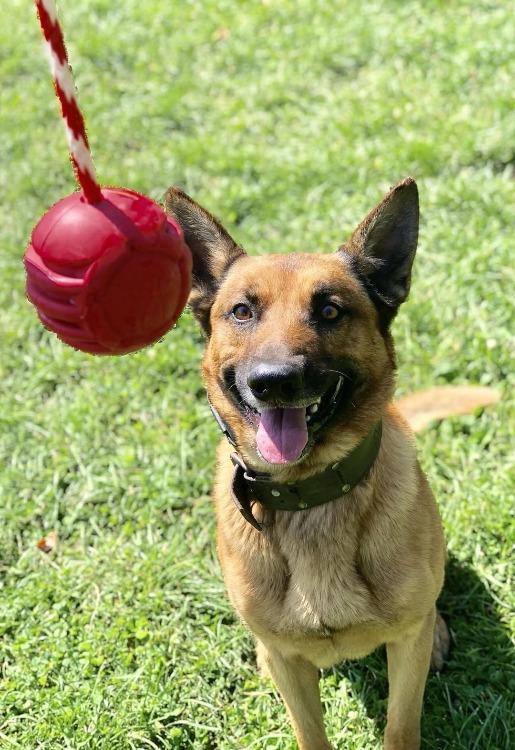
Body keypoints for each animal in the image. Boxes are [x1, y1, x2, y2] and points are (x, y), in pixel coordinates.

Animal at [165, 181, 452, 750]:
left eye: (330, 311)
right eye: (242, 312)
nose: (274, 381)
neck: (309, 493)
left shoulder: (405, 649)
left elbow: (401, 727)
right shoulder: (290, 666)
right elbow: (309, 732)